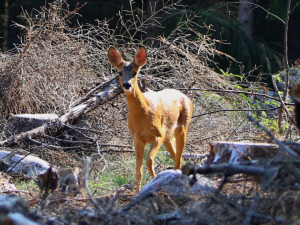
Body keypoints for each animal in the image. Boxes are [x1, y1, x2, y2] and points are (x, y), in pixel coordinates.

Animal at [108, 46, 192, 192]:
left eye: (135, 72)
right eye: (119, 72)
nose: (127, 85)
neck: (142, 115)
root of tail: (186, 97)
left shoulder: (158, 135)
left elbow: (149, 160)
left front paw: (154, 180)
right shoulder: (137, 138)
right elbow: (138, 169)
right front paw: (137, 192)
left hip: (182, 127)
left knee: (179, 157)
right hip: (168, 136)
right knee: (176, 156)